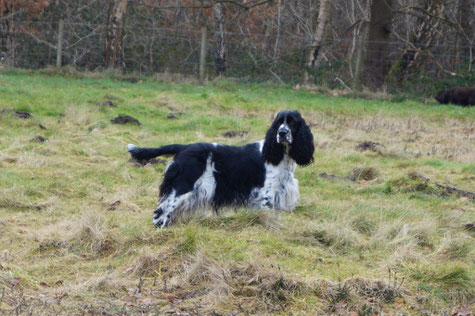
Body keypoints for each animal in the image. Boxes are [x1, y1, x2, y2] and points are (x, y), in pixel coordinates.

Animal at [128, 110, 314, 228]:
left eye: (292, 122)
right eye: (278, 123)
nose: (282, 133)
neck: (281, 155)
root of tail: (183, 147)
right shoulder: (266, 194)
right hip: (182, 187)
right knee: (161, 212)